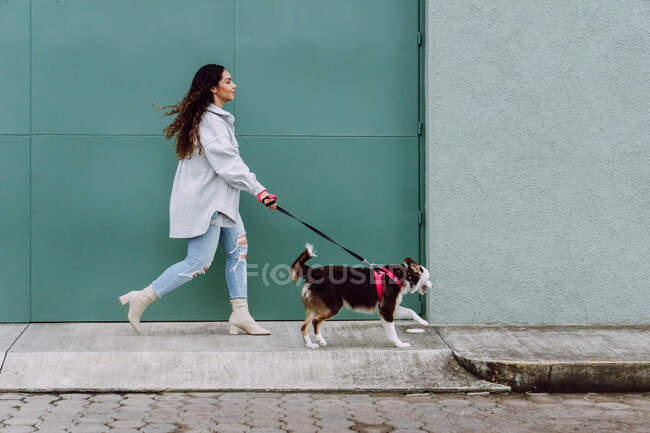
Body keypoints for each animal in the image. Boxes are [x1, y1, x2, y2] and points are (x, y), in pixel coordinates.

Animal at [288, 243, 430, 348]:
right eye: (428, 278)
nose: (432, 284)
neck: (403, 275)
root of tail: (314, 271)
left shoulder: (390, 306)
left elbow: (411, 311)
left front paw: (423, 322)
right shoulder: (386, 309)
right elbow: (392, 331)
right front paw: (399, 344)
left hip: (315, 306)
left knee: (304, 326)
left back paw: (310, 344)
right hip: (333, 306)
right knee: (315, 321)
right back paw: (320, 340)